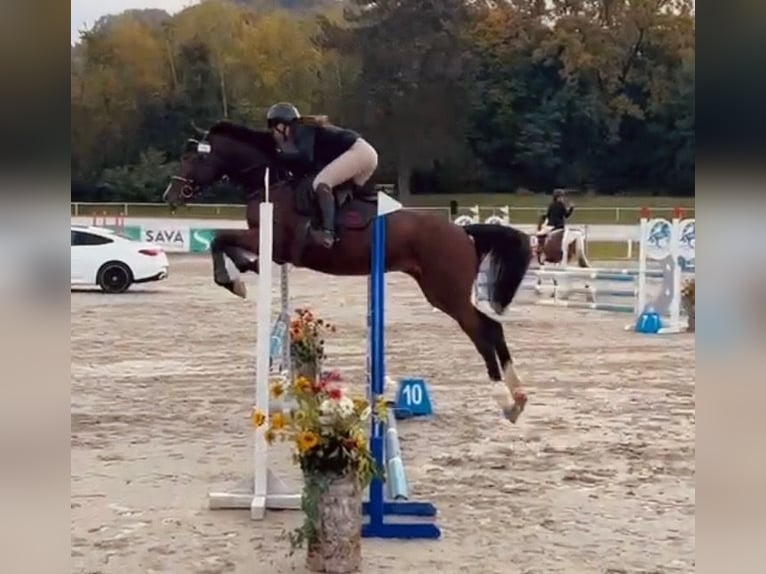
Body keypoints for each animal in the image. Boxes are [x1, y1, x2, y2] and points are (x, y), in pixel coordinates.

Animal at [162, 119, 536, 426]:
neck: (271, 183)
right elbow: (225, 243)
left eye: (193, 159)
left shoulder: (276, 243)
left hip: (445, 292)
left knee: (481, 332)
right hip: (444, 291)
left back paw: (504, 399)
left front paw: (234, 281)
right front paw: (244, 269)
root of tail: (462, 231)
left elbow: (219, 239)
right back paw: (518, 397)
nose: (170, 196)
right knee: (493, 327)